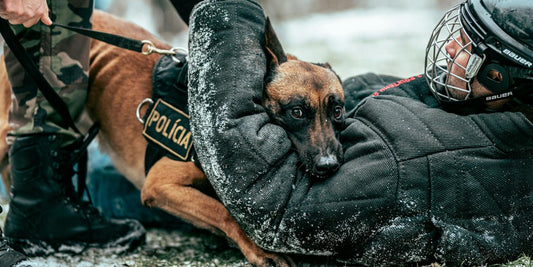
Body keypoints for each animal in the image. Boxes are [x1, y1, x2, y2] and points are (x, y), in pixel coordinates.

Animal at [0, 9, 342, 266]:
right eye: (296, 112)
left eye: (337, 111)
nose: (330, 165)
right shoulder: (160, 185)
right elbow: (222, 212)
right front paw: (254, 248)